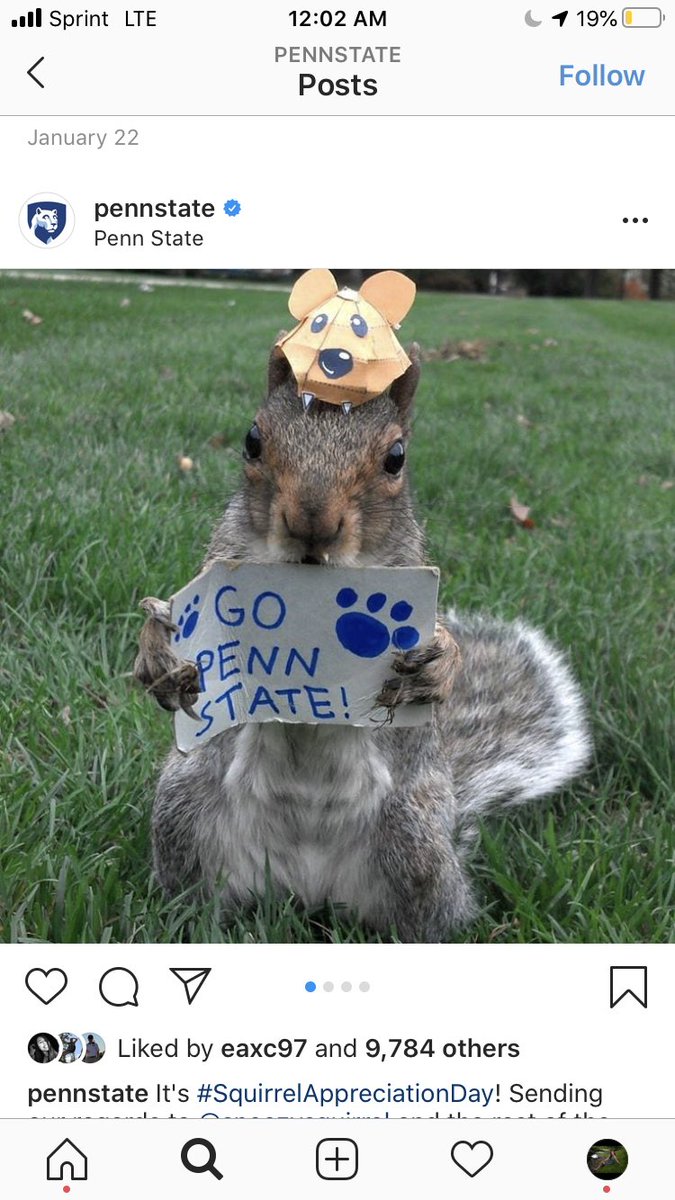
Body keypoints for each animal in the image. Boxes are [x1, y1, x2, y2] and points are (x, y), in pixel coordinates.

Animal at [134, 341, 590, 941]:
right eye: (252, 439)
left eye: (396, 457)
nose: (311, 521)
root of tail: (307, 887)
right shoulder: (219, 569)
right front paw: (159, 650)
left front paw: (441, 661)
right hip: (182, 814)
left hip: (415, 843)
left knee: (427, 919)